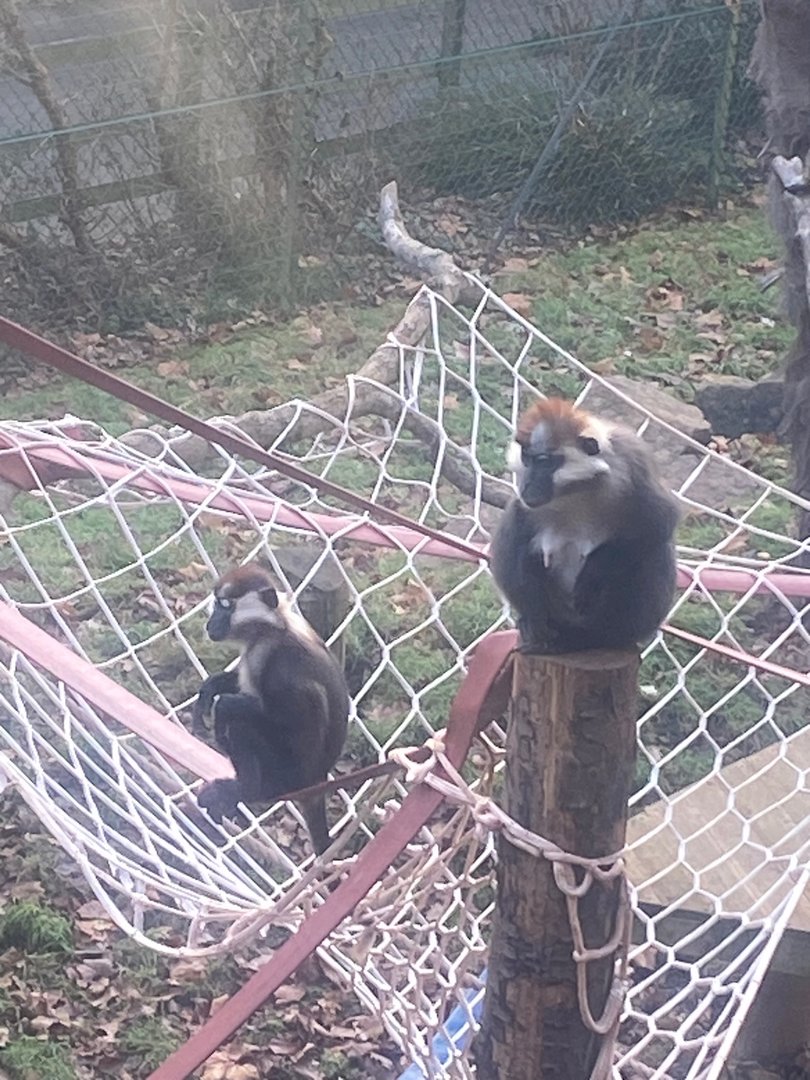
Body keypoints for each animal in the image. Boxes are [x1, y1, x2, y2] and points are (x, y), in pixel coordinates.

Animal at [192, 562, 350, 856]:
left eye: (226, 606)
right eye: (217, 605)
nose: (211, 622)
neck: (271, 627)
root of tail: (315, 784)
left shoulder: (278, 664)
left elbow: (292, 719)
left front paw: (224, 705)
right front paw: (210, 690)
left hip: (289, 773)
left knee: (241, 726)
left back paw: (250, 790)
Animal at [490, 398, 680, 654]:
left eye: (544, 462)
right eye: (527, 459)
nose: (528, 485)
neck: (576, 489)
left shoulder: (632, 461)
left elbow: (661, 523)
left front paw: (595, 570)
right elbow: (516, 523)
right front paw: (532, 619)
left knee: (654, 552)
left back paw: (592, 638)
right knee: (516, 527)